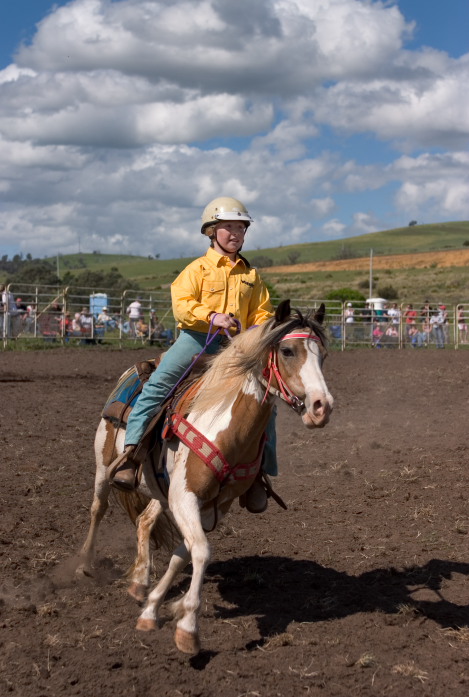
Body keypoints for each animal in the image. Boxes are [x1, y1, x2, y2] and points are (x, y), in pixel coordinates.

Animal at [77, 300, 332, 652]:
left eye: (323, 355)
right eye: (288, 350)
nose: (322, 407)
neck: (222, 425)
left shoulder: (213, 505)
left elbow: (184, 553)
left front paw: (158, 607)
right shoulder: (185, 497)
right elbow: (200, 551)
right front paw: (187, 627)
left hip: (161, 491)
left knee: (144, 521)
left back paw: (140, 580)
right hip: (104, 467)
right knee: (98, 508)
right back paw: (85, 565)